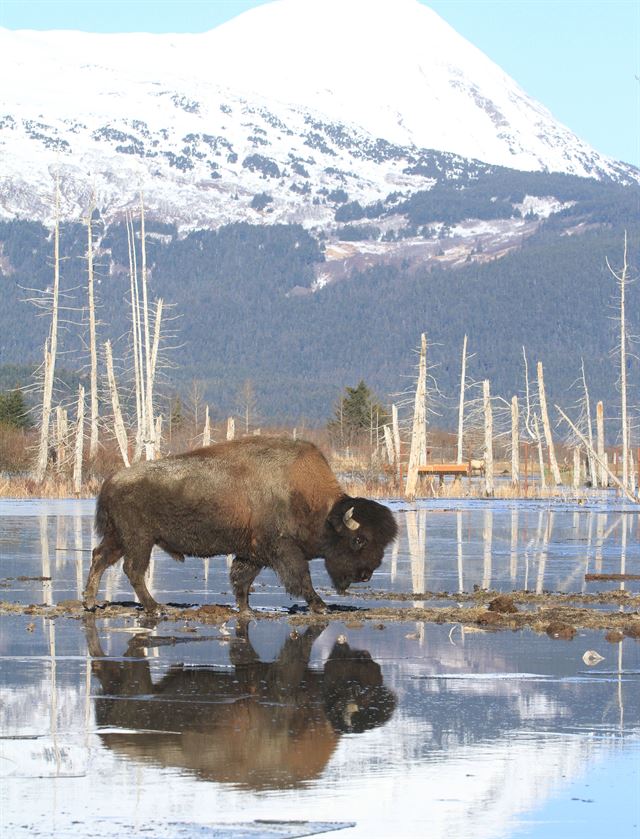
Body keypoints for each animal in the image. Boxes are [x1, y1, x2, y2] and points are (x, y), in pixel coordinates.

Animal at [83, 436, 398, 612]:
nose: (366, 575)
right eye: (359, 540)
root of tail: (111, 481)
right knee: (133, 570)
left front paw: (246, 609)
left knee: (99, 558)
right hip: (139, 540)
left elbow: (241, 580)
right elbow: (301, 578)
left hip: (119, 538)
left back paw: (90, 603)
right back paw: (154, 607)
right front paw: (320, 606)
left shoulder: (252, 553)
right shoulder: (283, 549)